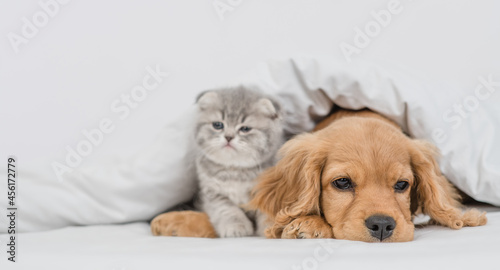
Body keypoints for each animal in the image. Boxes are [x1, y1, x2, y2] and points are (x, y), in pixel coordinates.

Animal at [192, 86, 284, 236]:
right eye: (218, 125)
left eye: (245, 129)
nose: (228, 137)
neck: (236, 170)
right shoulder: (212, 193)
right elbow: (227, 209)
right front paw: (235, 226)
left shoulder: (268, 191)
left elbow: (268, 211)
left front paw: (270, 228)